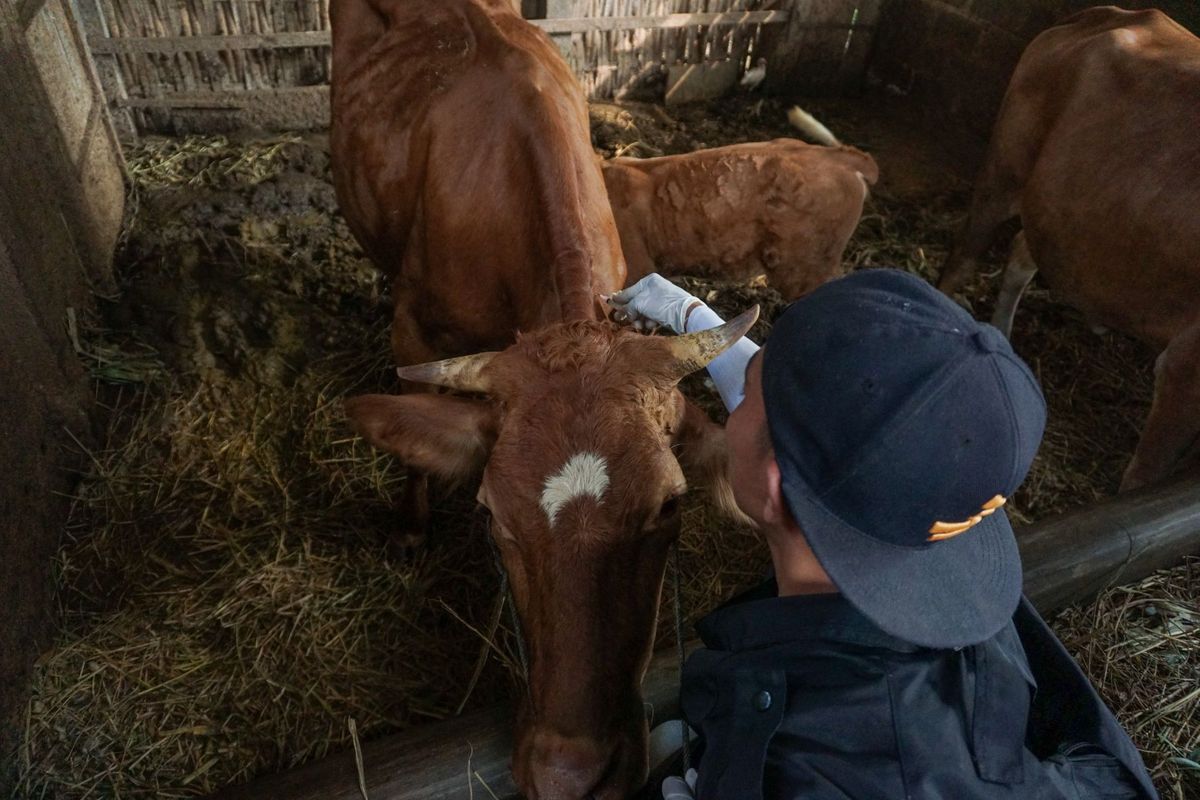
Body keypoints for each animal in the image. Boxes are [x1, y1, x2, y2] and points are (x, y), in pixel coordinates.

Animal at [936, 6, 1200, 494]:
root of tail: (1114, 13)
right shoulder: (1186, 369)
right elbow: (1144, 477)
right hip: (1004, 167)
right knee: (964, 254)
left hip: (1059, 208)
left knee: (1023, 251)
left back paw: (1003, 333)